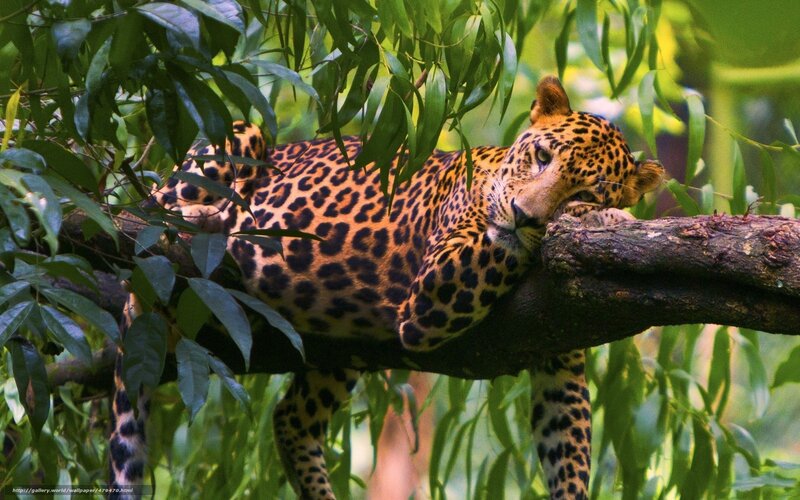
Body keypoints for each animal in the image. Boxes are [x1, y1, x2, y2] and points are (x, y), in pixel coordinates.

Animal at [109, 76, 664, 499]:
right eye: (543, 156)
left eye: (584, 186)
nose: (523, 215)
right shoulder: (438, 286)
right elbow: (501, 246)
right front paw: (607, 218)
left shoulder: (558, 350)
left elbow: (567, 448)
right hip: (235, 138)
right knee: (151, 209)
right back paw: (204, 219)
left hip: (338, 346)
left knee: (290, 419)